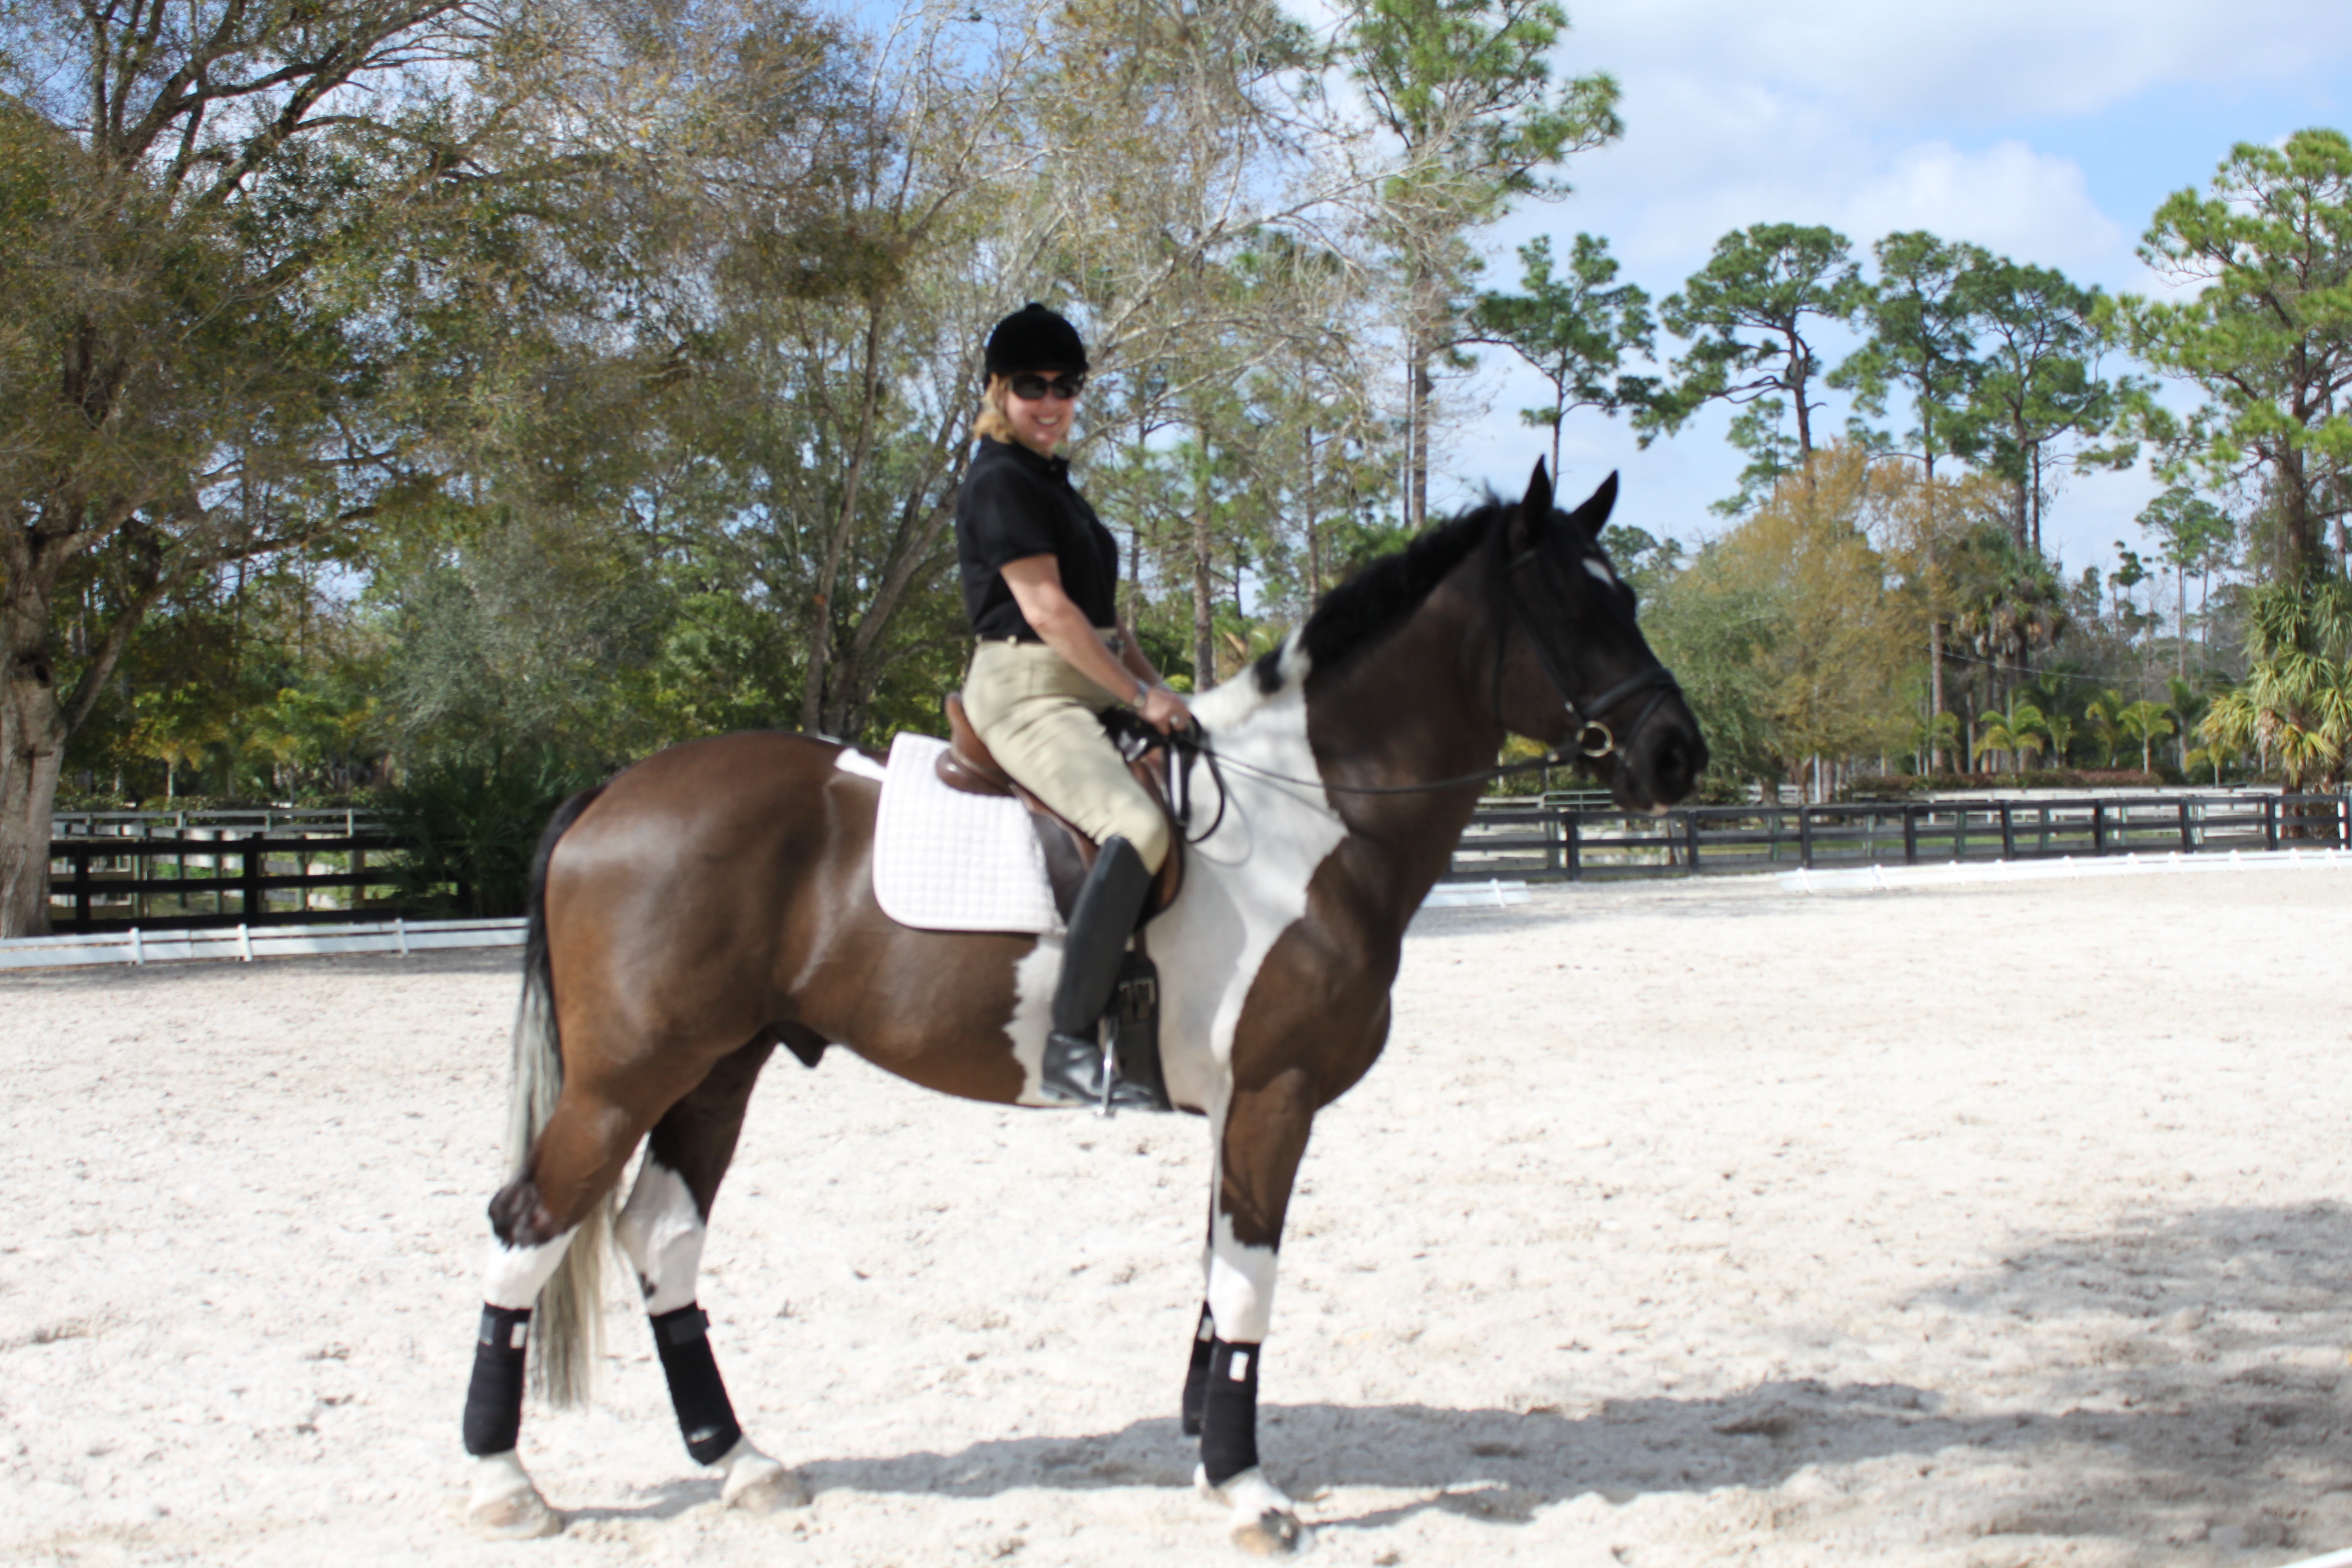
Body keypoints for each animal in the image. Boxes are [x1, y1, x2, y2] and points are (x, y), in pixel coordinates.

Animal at [457, 461, 1706, 1554]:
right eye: (1569, 602)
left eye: (1631, 597)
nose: (1676, 755)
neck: (1313, 812)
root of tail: (615, 791)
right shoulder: (1276, 1095)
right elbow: (1248, 1280)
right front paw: (1248, 1490)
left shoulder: (1239, 1109)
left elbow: (1216, 1277)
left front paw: (1208, 1454)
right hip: (625, 1079)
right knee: (528, 1225)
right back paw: (503, 1482)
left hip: (718, 1069)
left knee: (659, 1237)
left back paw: (741, 1462)